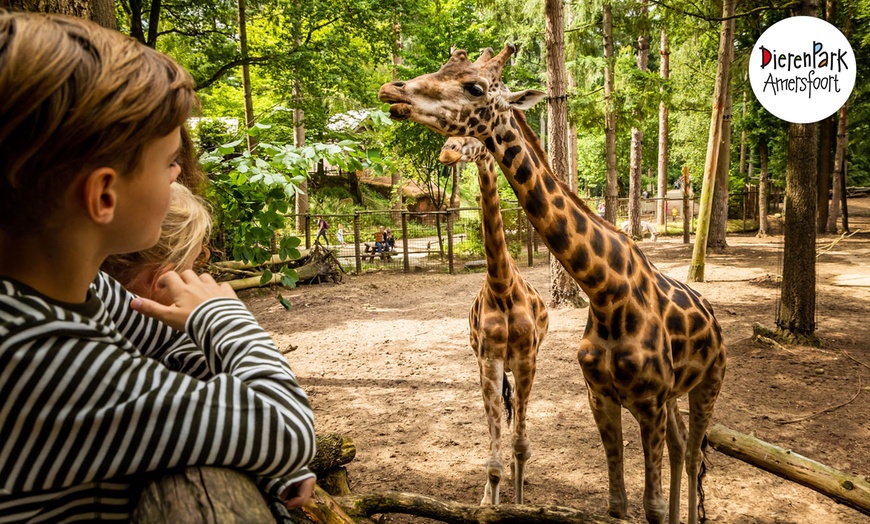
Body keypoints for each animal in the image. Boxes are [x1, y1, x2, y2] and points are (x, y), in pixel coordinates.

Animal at [440, 137, 548, 506]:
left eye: (473, 139)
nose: (447, 151)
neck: (502, 286)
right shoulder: (489, 360)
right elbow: (494, 462)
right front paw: (491, 503)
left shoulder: (527, 358)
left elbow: (521, 447)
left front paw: (519, 503)